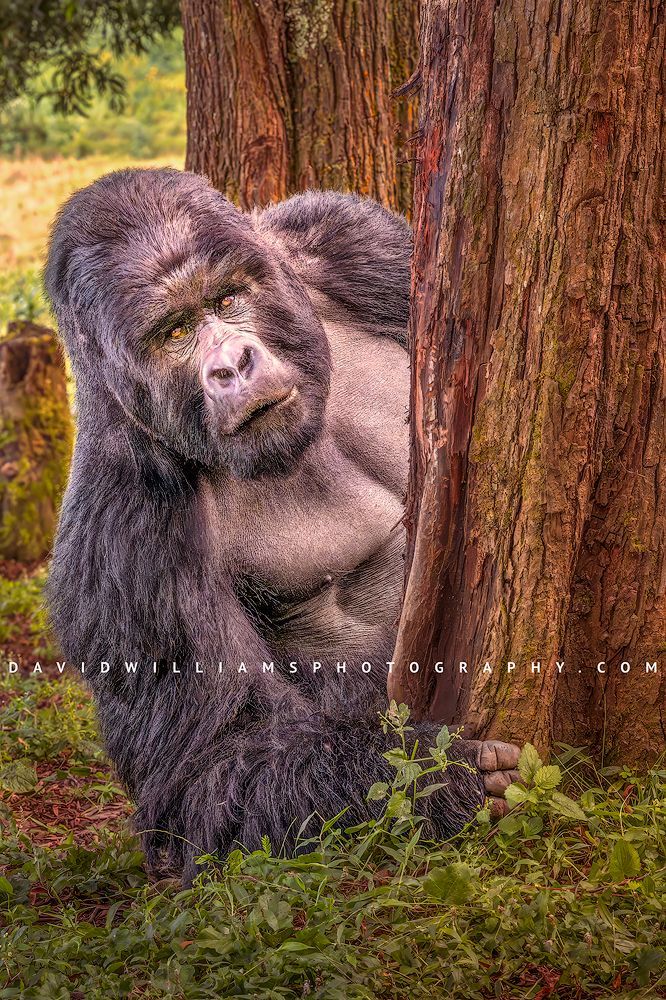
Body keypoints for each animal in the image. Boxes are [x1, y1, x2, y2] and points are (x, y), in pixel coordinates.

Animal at [45, 168, 519, 880]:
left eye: (227, 298)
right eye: (173, 332)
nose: (233, 364)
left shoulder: (346, 240)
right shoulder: (122, 541)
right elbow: (208, 774)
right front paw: (435, 776)